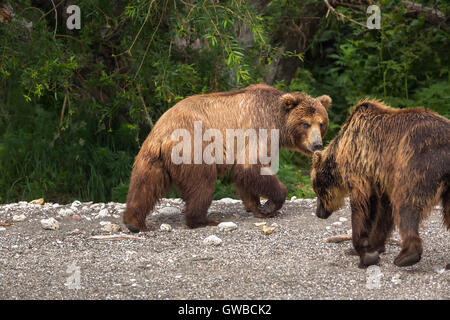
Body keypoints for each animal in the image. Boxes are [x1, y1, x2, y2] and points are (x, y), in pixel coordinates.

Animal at [123, 84, 330, 231]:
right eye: (305, 124)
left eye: (321, 123)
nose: (317, 144)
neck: (278, 121)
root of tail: (164, 133)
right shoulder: (260, 128)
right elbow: (250, 166)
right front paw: (271, 204)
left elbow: (244, 176)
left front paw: (256, 207)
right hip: (196, 148)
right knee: (202, 184)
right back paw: (202, 220)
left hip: (151, 156)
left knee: (144, 185)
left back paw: (134, 222)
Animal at [312, 99, 448, 268]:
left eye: (317, 189)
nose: (318, 213)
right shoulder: (382, 178)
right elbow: (384, 211)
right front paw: (373, 246)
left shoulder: (360, 163)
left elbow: (363, 204)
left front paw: (364, 252)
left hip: (418, 160)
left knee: (406, 203)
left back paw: (406, 255)